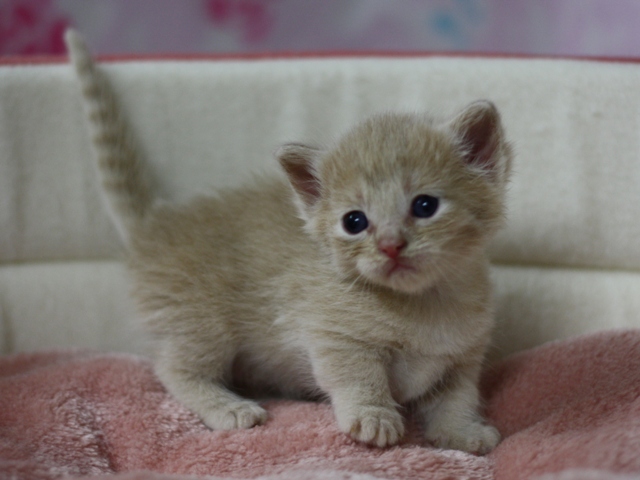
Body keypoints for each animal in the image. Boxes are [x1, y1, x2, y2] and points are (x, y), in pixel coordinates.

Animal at [65, 31, 512, 454]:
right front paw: (373, 416)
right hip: (199, 321)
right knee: (172, 369)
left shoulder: (463, 359)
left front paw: (462, 432)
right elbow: (359, 377)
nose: (390, 245)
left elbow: (457, 399)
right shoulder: (333, 336)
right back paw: (228, 407)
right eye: (354, 221)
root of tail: (157, 223)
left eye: (425, 205)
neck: (425, 305)